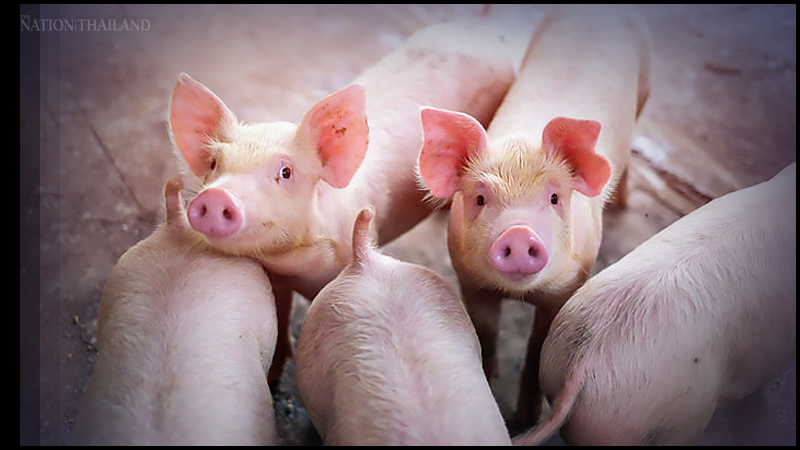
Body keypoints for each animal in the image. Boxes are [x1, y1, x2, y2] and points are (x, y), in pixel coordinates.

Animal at [168, 19, 515, 383]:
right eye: (214, 163)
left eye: (286, 172)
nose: (217, 195)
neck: (297, 266)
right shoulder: (276, 276)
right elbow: (280, 315)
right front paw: (273, 379)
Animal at [416, 5, 652, 426]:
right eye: (480, 198)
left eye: (555, 197)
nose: (519, 233)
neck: (519, 295)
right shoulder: (469, 280)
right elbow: (486, 334)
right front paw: (490, 381)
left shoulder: (569, 284)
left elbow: (537, 347)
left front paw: (525, 419)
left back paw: (623, 203)